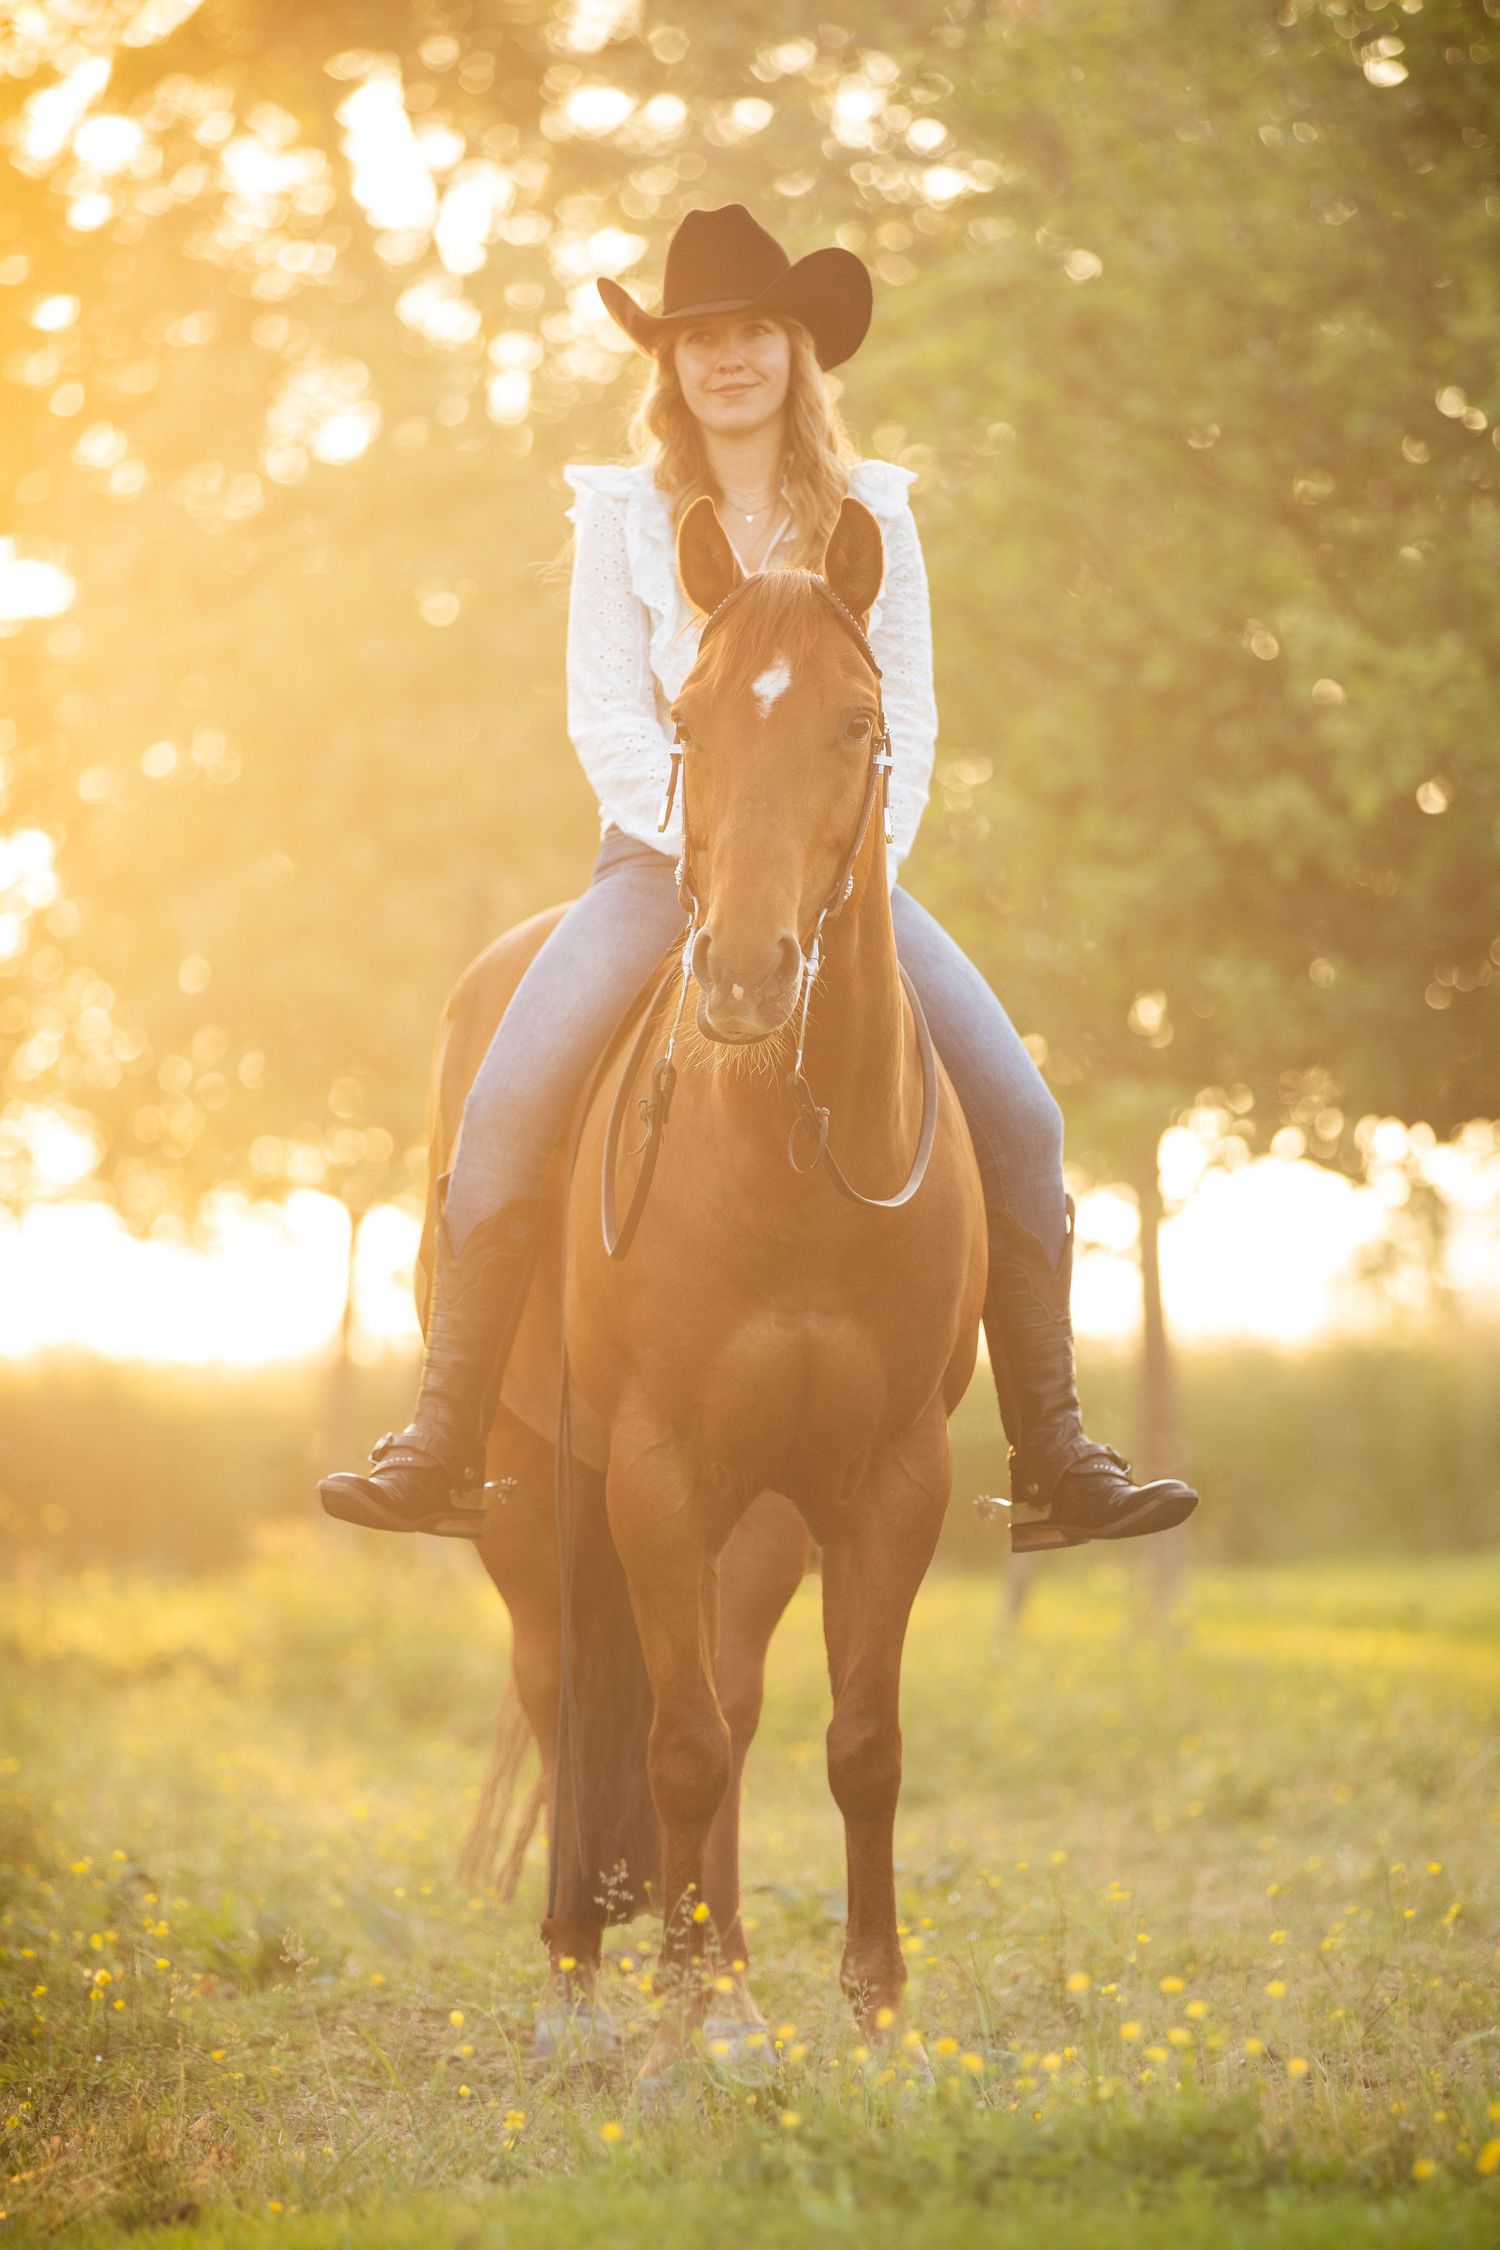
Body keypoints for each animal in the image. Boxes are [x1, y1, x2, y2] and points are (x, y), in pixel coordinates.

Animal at [417, 493, 988, 2097]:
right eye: (690, 716)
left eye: (859, 722)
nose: (742, 977)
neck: (785, 1161)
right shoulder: (656, 1475)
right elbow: (665, 1750)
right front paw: (668, 2027)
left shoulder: (887, 1480)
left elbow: (858, 1745)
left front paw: (874, 2019)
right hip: (532, 1495)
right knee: (573, 1706)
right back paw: (587, 1990)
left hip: (761, 1521)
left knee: (725, 1698)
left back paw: (728, 1989)